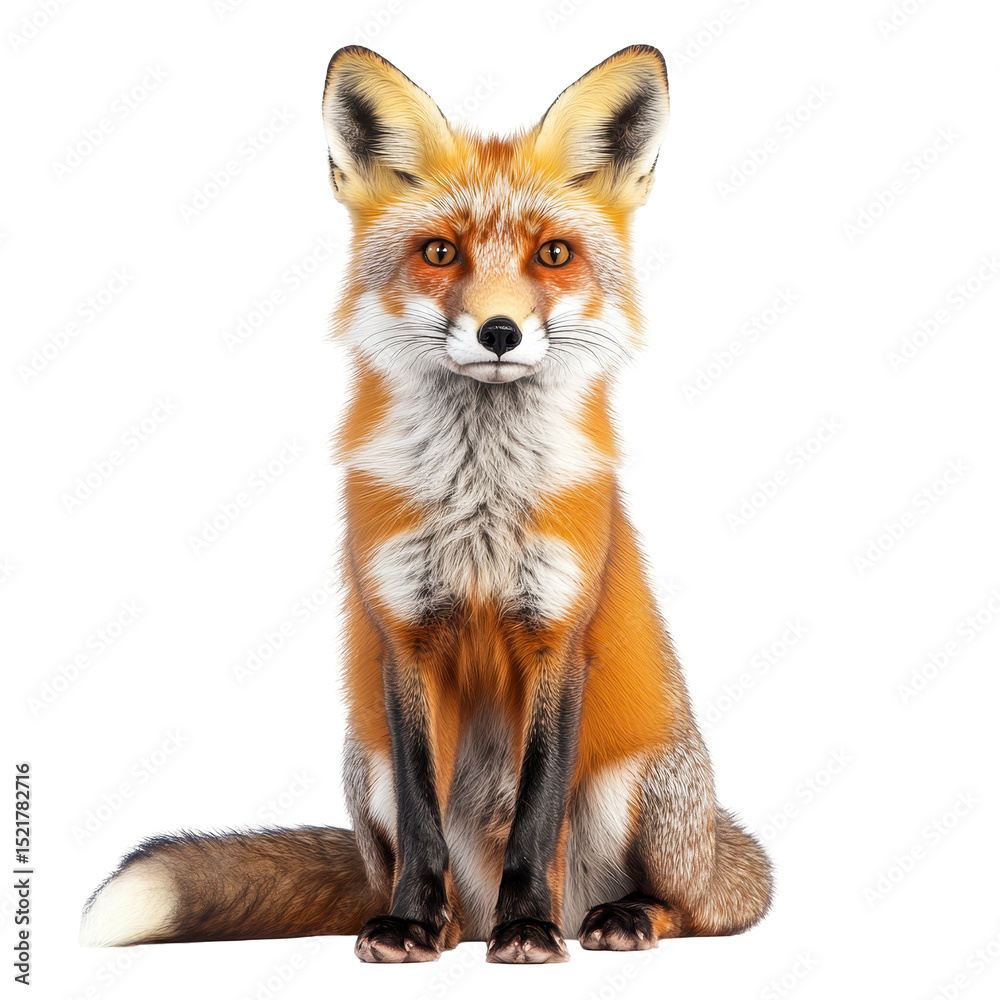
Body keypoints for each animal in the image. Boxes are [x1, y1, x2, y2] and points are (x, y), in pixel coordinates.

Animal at [80, 43, 772, 964]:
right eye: (440, 251)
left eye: (554, 254)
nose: (500, 332)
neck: (477, 502)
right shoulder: (401, 637)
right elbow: (422, 816)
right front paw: (409, 923)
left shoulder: (558, 636)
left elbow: (536, 811)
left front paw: (528, 928)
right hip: (358, 761)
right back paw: (438, 925)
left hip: (640, 793)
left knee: (702, 908)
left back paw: (607, 918)